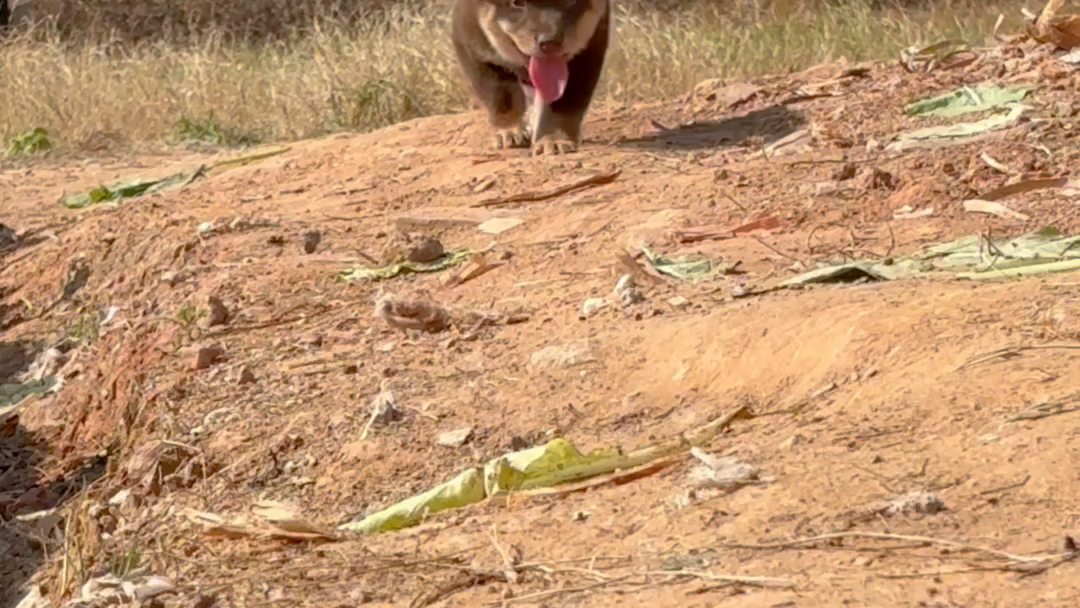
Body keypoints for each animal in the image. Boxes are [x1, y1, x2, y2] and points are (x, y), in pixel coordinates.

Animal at [451, 0, 613, 155]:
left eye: (570, 0)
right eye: (517, 3)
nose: (549, 42)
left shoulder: (586, 52)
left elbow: (562, 104)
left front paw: (555, 140)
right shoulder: (477, 54)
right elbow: (502, 99)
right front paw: (511, 131)